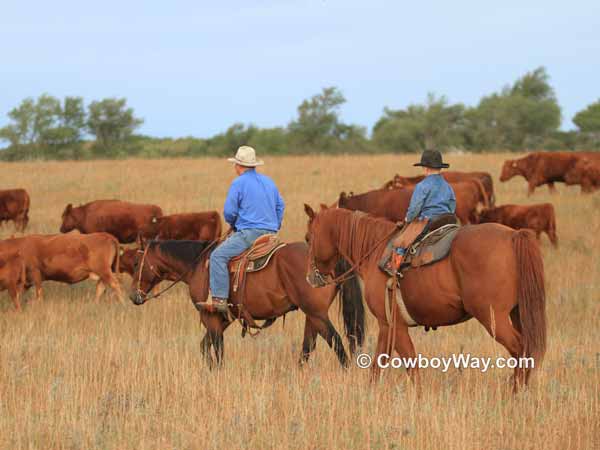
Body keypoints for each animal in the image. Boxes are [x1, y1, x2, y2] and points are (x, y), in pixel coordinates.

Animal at [128, 239, 364, 370]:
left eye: (137, 263)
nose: (133, 296)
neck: (197, 266)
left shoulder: (210, 316)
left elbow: (217, 348)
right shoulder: (226, 318)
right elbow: (205, 347)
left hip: (316, 313)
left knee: (336, 343)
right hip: (313, 314)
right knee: (308, 347)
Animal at [308, 207, 548, 390]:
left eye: (308, 237)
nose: (310, 277)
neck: (375, 254)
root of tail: (513, 235)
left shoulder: (396, 326)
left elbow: (410, 364)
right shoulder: (387, 326)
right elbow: (378, 364)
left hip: (493, 318)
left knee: (520, 348)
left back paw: (514, 392)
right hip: (517, 313)